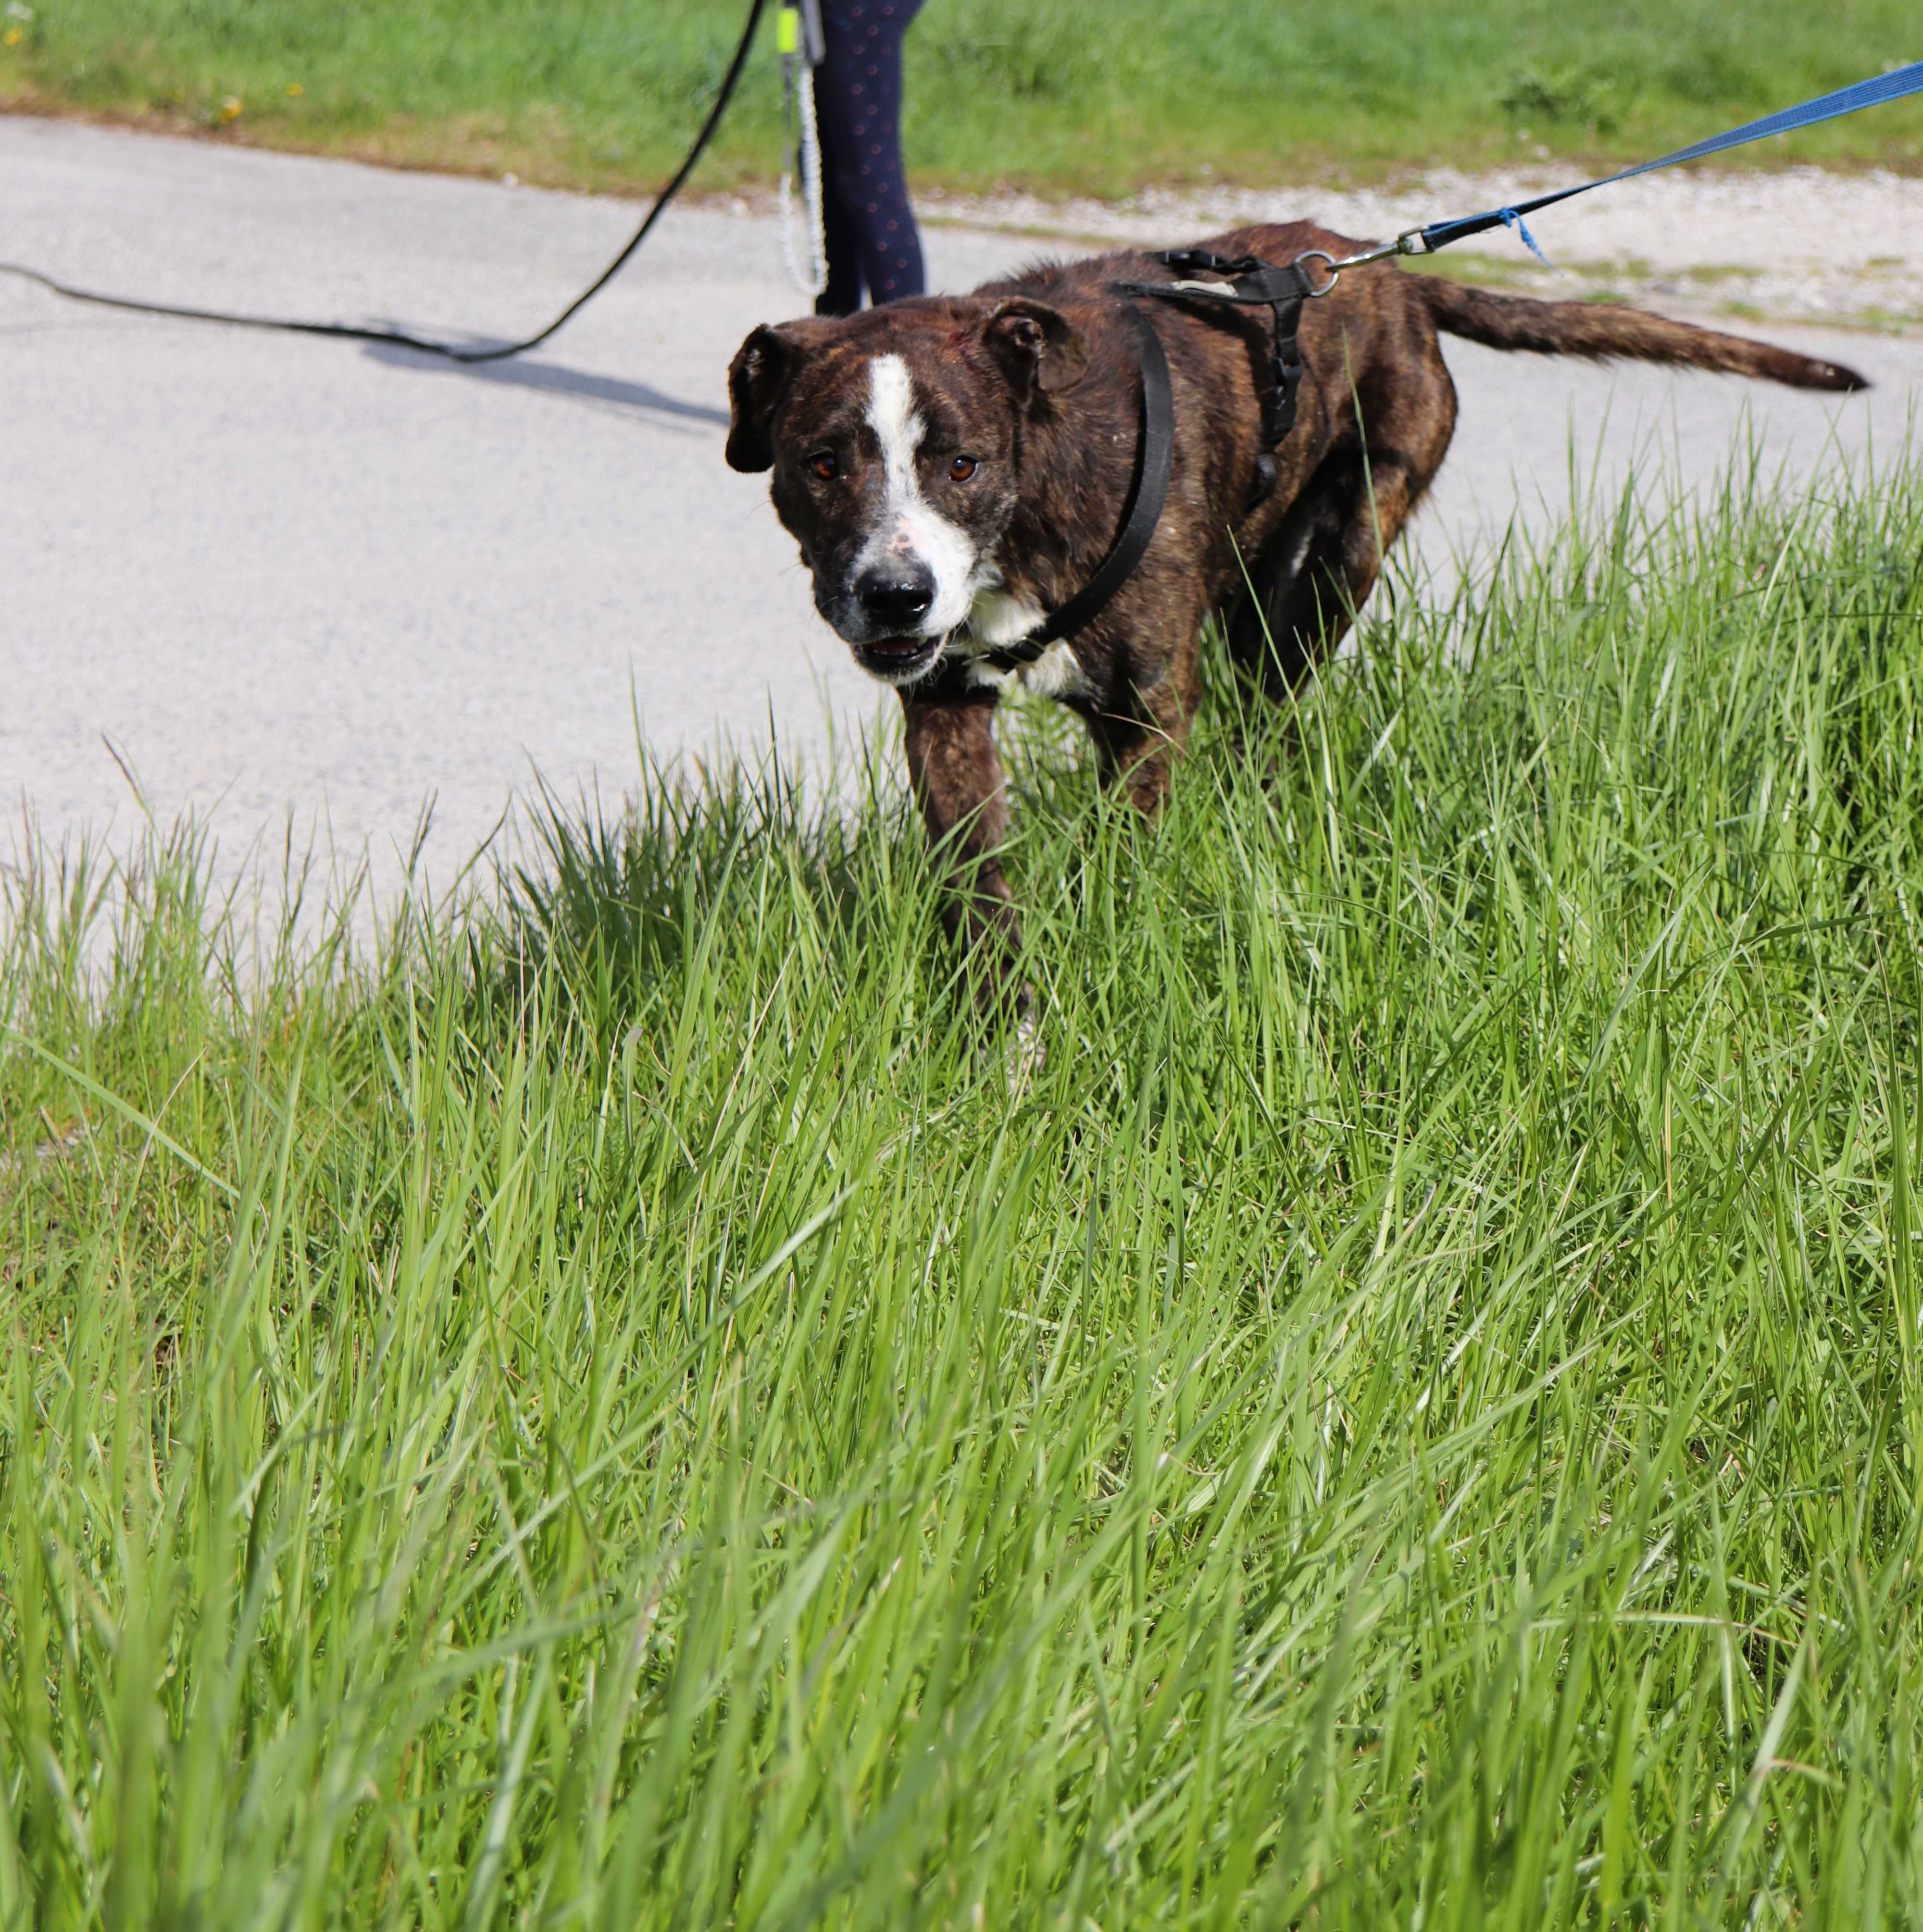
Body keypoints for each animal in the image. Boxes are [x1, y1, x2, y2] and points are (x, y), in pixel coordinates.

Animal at [726, 222, 1861, 1012]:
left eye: (960, 464)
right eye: (819, 465)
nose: (895, 593)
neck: (1030, 502)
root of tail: (1384, 272)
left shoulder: (1146, 712)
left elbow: (1122, 860)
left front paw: (1111, 953)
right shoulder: (946, 711)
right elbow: (979, 890)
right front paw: (1006, 1041)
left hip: (1332, 569)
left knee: (1270, 723)